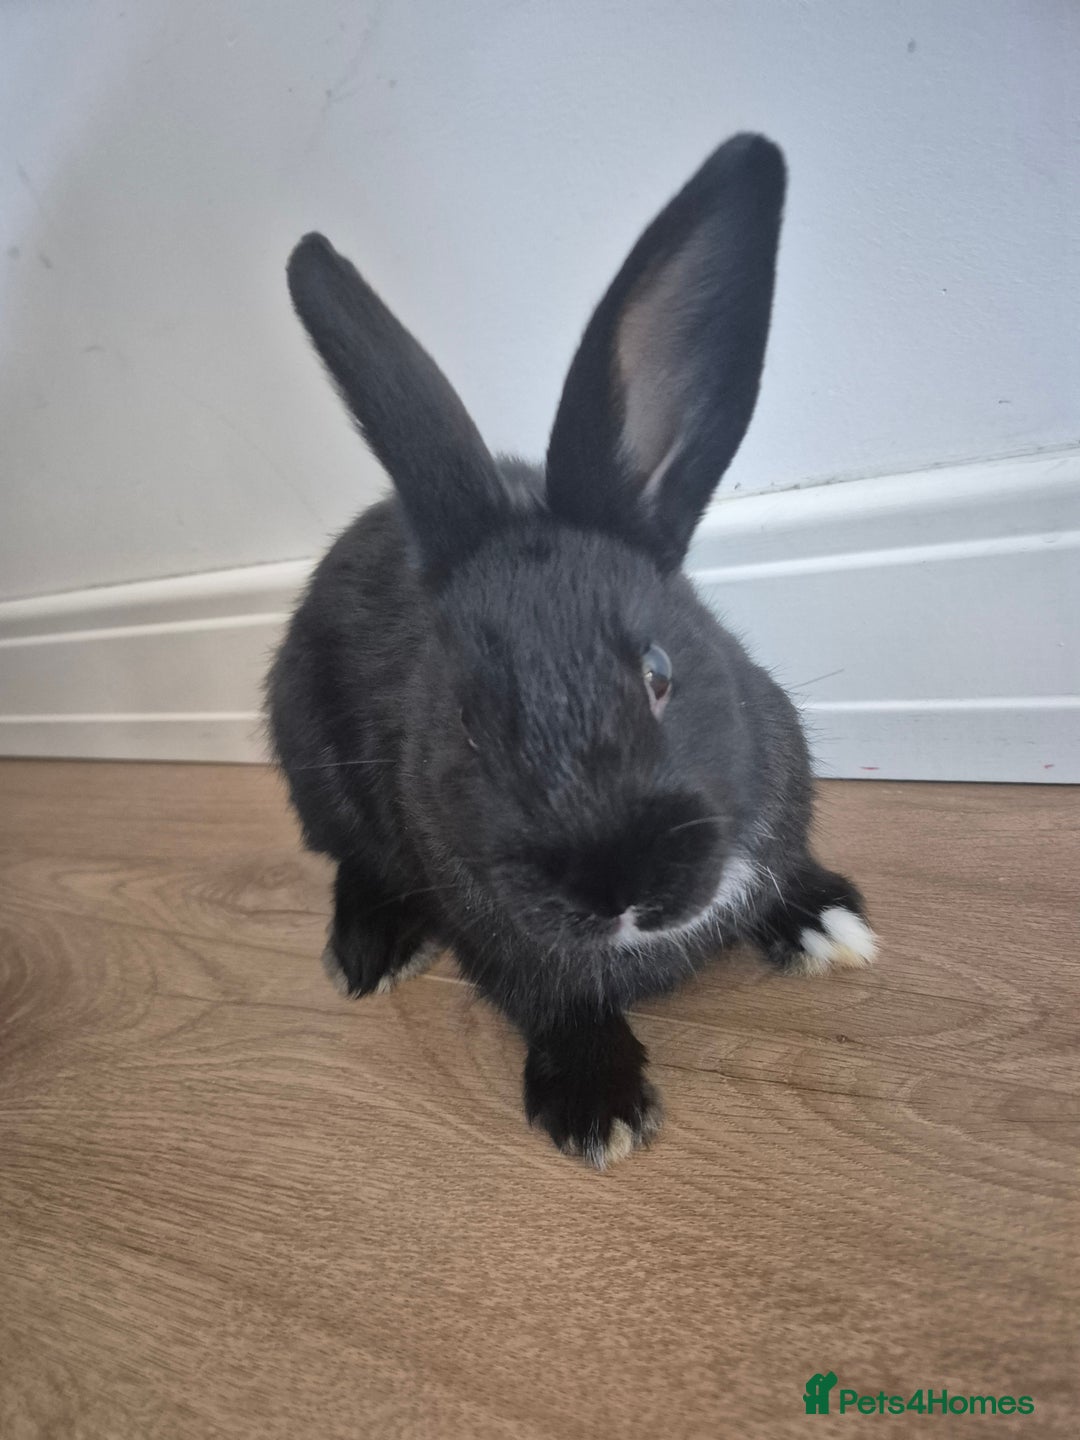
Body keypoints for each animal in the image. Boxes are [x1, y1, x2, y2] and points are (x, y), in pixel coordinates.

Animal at [267, 133, 877, 1169]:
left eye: (660, 673)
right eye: (467, 722)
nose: (615, 885)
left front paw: (828, 922)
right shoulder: (498, 934)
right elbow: (554, 1001)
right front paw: (599, 1110)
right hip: (309, 761)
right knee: (348, 856)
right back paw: (371, 950)